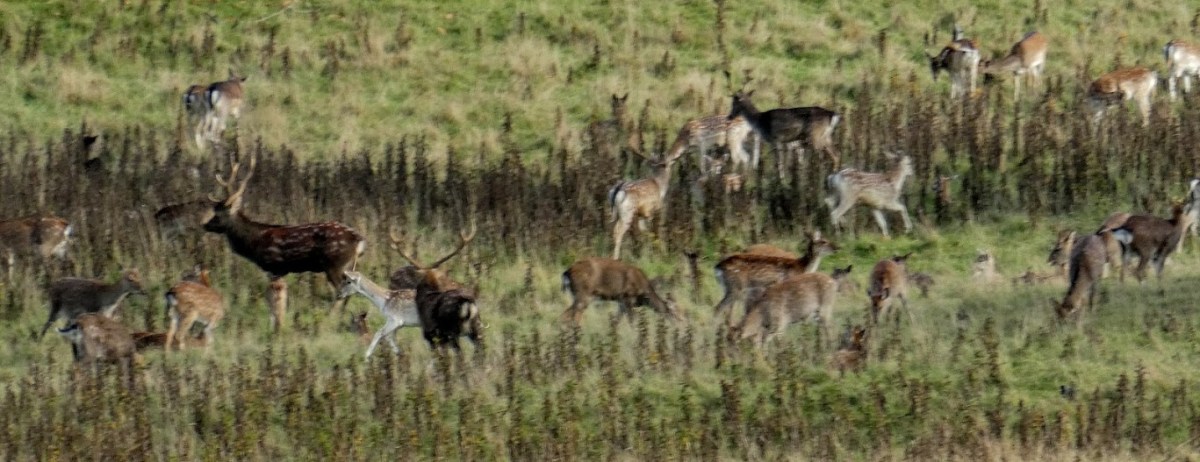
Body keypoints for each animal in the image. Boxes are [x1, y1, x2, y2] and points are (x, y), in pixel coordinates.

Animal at [201, 153, 366, 332]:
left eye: (217, 214)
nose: (205, 225)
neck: (255, 241)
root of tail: (359, 240)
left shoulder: (274, 266)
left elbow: (275, 300)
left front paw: (277, 326)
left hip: (334, 264)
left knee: (341, 293)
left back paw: (328, 321)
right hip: (348, 266)